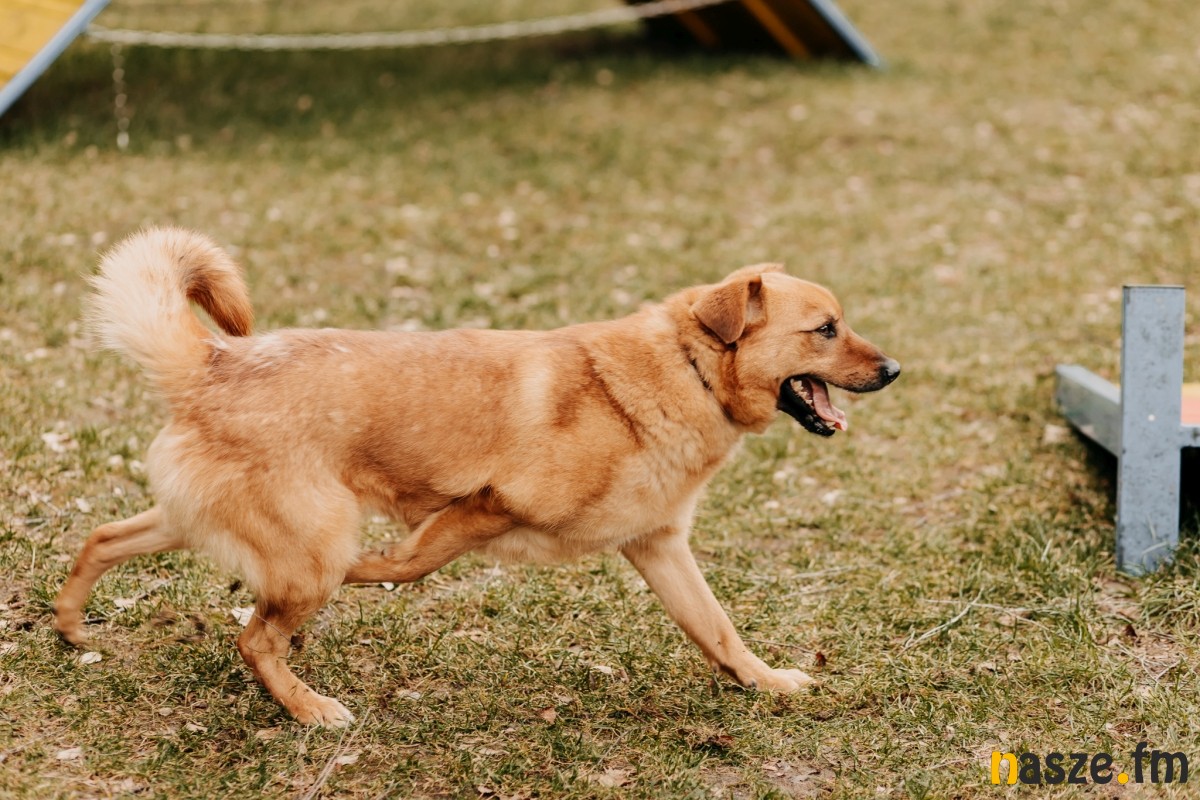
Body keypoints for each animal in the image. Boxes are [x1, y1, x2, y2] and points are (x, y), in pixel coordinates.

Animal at [53, 227, 899, 726]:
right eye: (825, 329)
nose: (895, 370)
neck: (685, 369)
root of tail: (215, 363)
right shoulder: (488, 503)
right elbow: (408, 561)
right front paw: (374, 572)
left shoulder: (659, 548)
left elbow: (719, 631)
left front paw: (767, 682)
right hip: (309, 546)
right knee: (255, 638)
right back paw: (310, 707)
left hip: (193, 516)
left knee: (104, 537)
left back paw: (69, 626)